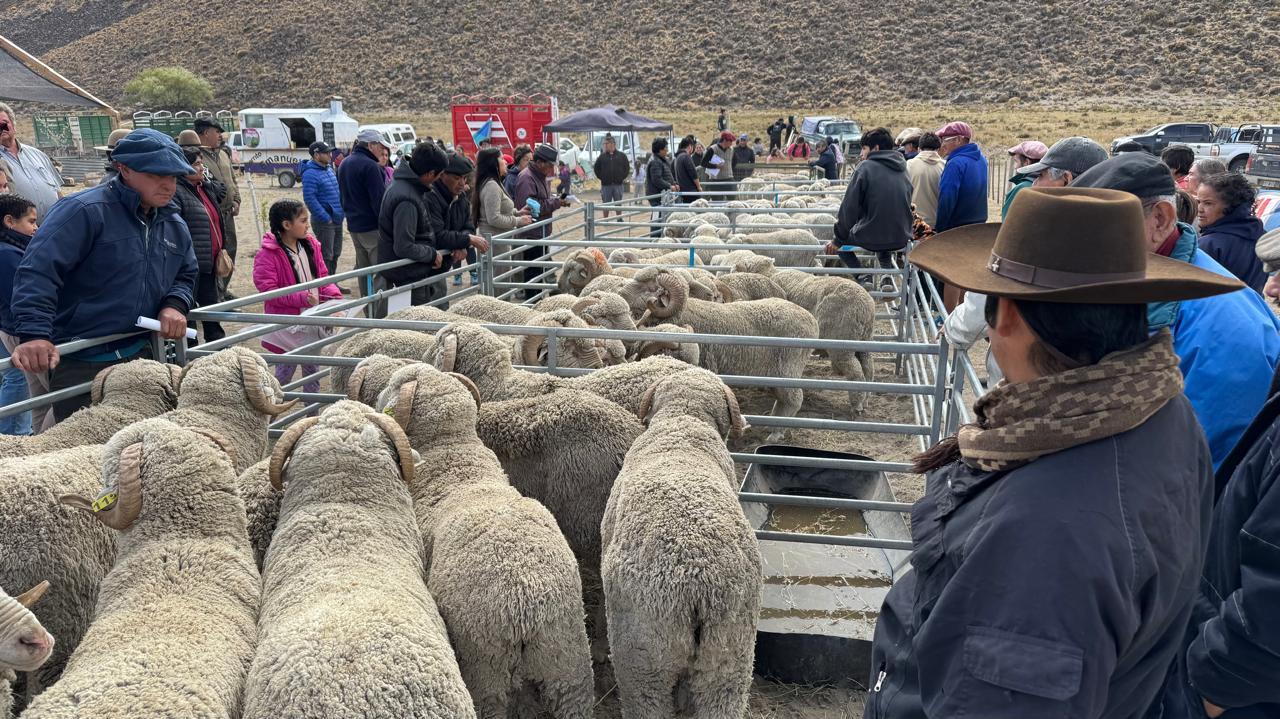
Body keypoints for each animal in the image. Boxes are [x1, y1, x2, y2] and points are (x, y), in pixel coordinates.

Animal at [615, 267, 818, 440]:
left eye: (649, 287)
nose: (620, 295)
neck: (680, 315)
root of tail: (811, 320)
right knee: (783, 399)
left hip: (789, 368)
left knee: (794, 399)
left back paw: (777, 432)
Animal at [772, 269, 876, 413]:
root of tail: (866, 308)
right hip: (864, 342)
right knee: (868, 368)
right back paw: (866, 400)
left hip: (842, 345)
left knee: (855, 372)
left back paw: (857, 404)